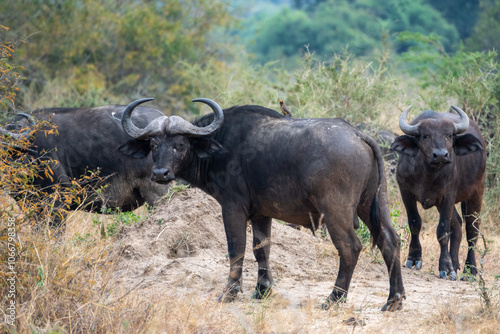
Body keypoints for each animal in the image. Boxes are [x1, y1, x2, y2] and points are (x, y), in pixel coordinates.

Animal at [118, 98, 406, 312]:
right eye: (153, 144)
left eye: (179, 144)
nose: (160, 174)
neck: (221, 145)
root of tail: (357, 134)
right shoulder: (262, 214)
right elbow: (261, 249)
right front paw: (262, 290)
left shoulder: (232, 208)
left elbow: (236, 249)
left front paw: (230, 293)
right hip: (373, 203)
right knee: (390, 239)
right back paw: (394, 300)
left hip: (337, 212)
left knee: (350, 247)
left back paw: (334, 298)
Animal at [390, 105, 484, 280]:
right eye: (425, 136)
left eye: (450, 135)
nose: (441, 155)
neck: (428, 174)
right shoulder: (405, 191)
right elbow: (414, 223)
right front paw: (414, 258)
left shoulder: (448, 195)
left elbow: (443, 230)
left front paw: (445, 267)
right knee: (457, 223)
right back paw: (455, 263)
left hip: (477, 192)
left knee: (472, 229)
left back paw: (470, 270)